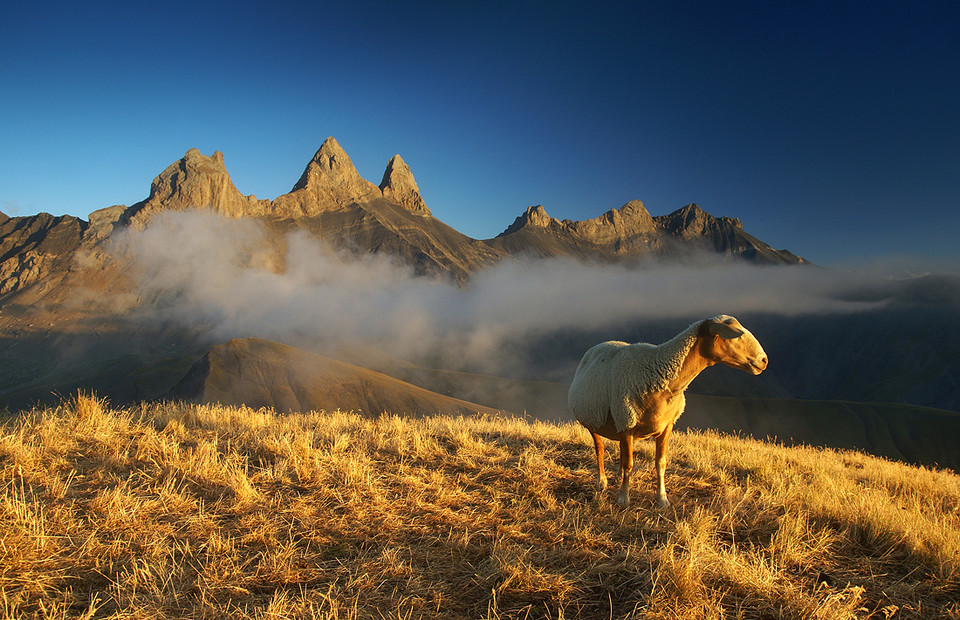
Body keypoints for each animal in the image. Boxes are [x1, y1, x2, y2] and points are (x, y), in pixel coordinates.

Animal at [568, 318, 764, 506]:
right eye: (735, 336)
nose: (764, 360)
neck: (658, 372)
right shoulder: (626, 423)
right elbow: (629, 464)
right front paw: (624, 498)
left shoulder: (666, 425)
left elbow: (660, 462)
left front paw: (662, 498)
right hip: (595, 420)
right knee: (600, 450)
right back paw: (601, 481)